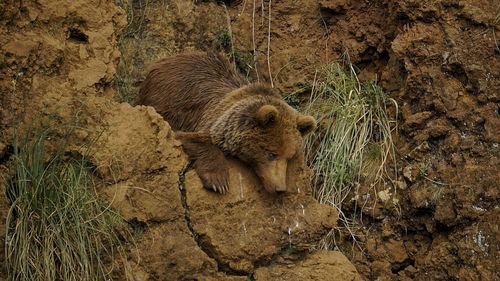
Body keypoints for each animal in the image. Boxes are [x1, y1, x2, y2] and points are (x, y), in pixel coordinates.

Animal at [137, 52, 316, 192]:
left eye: (290, 157)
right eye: (272, 154)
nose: (280, 188)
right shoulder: (206, 119)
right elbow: (193, 138)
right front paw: (218, 181)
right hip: (163, 97)